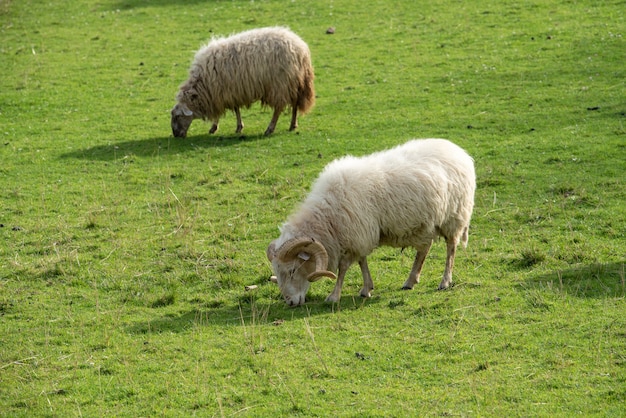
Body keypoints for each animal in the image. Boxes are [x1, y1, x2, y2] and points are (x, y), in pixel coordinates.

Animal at [171, 26, 314, 137]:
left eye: (177, 116)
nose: (176, 135)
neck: (202, 86)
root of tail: (302, 50)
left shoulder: (219, 92)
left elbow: (224, 111)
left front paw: (214, 127)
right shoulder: (230, 91)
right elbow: (236, 109)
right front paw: (239, 126)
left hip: (280, 84)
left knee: (278, 108)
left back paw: (270, 128)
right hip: (294, 83)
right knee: (295, 104)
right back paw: (293, 125)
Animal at [264, 139, 472, 306]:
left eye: (292, 270)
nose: (290, 303)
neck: (327, 218)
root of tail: (458, 150)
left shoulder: (356, 233)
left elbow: (343, 267)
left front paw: (334, 296)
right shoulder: (359, 235)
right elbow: (362, 261)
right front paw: (367, 288)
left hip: (454, 216)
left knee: (451, 248)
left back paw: (445, 281)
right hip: (425, 225)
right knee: (425, 248)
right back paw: (410, 281)